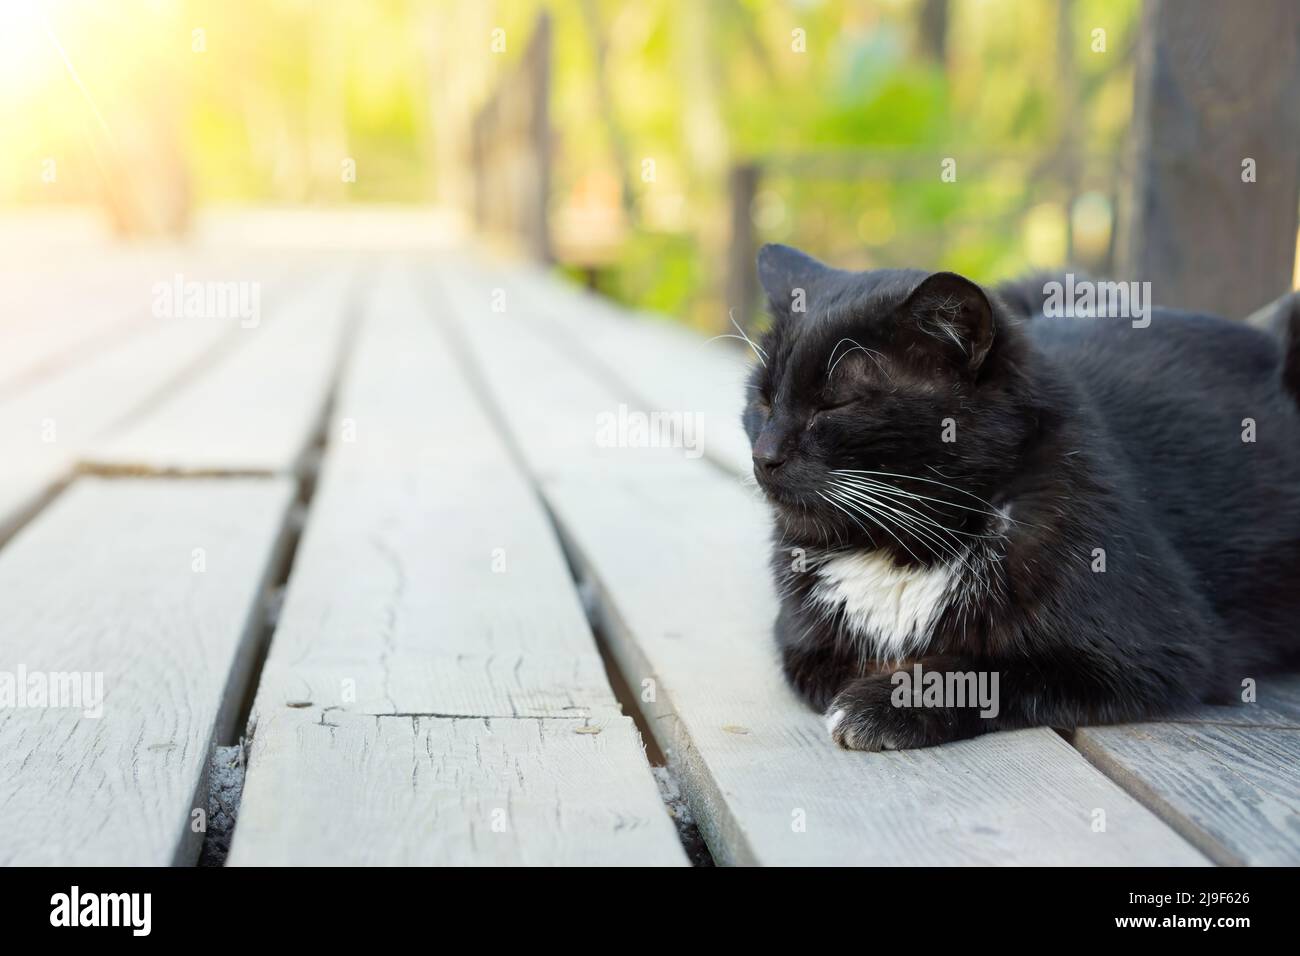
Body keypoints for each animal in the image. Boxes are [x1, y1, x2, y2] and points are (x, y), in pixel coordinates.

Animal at [743, 243, 1300, 749]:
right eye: (763, 400)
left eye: (836, 404)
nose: (763, 455)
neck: (899, 550)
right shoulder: (798, 641)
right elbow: (818, 665)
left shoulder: (1150, 653)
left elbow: (984, 669)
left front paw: (878, 705)